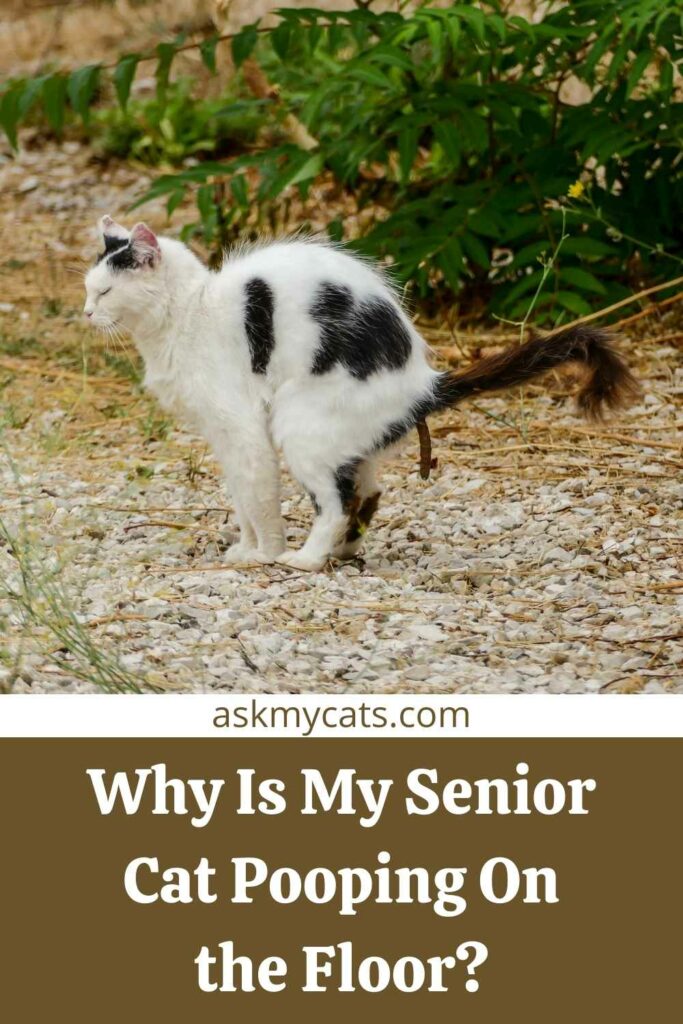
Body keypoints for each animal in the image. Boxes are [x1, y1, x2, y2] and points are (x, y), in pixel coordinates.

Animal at [83, 215, 643, 569]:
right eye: (89, 289)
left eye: (105, 291)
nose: (86, 313)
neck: (188, 313)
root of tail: (422, 382)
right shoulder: (222, 437)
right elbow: (241, 498)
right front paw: (245, 547)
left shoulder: (242, 429)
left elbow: (258, 497)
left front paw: (263, 553)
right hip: (345, 437)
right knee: (367, 491)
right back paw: (343, 551)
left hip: (299, 424)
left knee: (337, 501)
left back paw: (306, 559)